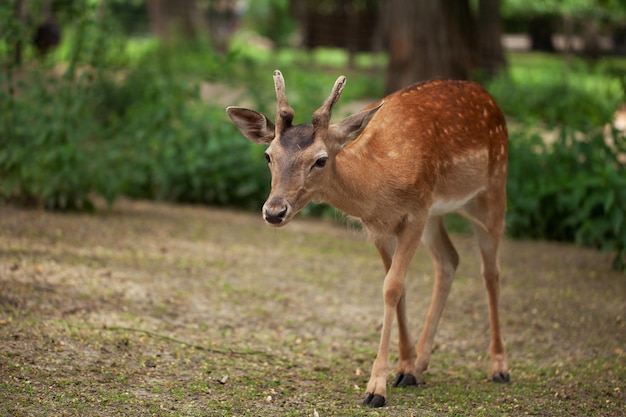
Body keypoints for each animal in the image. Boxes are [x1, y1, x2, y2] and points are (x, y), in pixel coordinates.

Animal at [224, 70, 508, 404]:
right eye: (268, 156)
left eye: (321, 160)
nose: (274, 211)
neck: (380, 184)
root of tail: (487, 96)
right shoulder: (379, 227)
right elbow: (398, 287)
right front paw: (405, 367)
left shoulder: (415, 214)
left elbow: (392, 288)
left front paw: (376, 388)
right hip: (437, 214)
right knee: (449, 260)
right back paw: (421, 363)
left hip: (493, 188)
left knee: (491, 271)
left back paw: (500, 367)